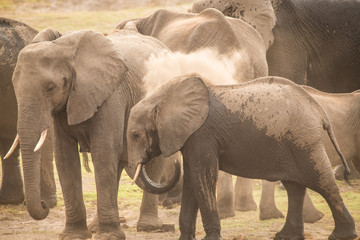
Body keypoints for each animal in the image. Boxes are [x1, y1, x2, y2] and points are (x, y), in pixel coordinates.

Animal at [9, 27, 180, 239]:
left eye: (50, 88)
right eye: (14, 87)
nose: (44, 205)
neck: (64, 47)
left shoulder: (111, 95)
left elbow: (103, 152)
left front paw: (110, 236)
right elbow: (65, 158)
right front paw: (74, 235)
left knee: (150, 162)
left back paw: (148, 227)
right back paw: (96, 227)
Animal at [126, 73, 358, 240]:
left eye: (136, 135)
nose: (174, 163)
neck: (161, 98)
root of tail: (319, 111)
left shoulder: (202, 135)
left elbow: (203, 178)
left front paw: (211, 239)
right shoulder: (191, 138)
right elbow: (193, 179)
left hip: (304, 141)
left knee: (322, 182)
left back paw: (342, 236)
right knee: (295, 188)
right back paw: (285, 236)